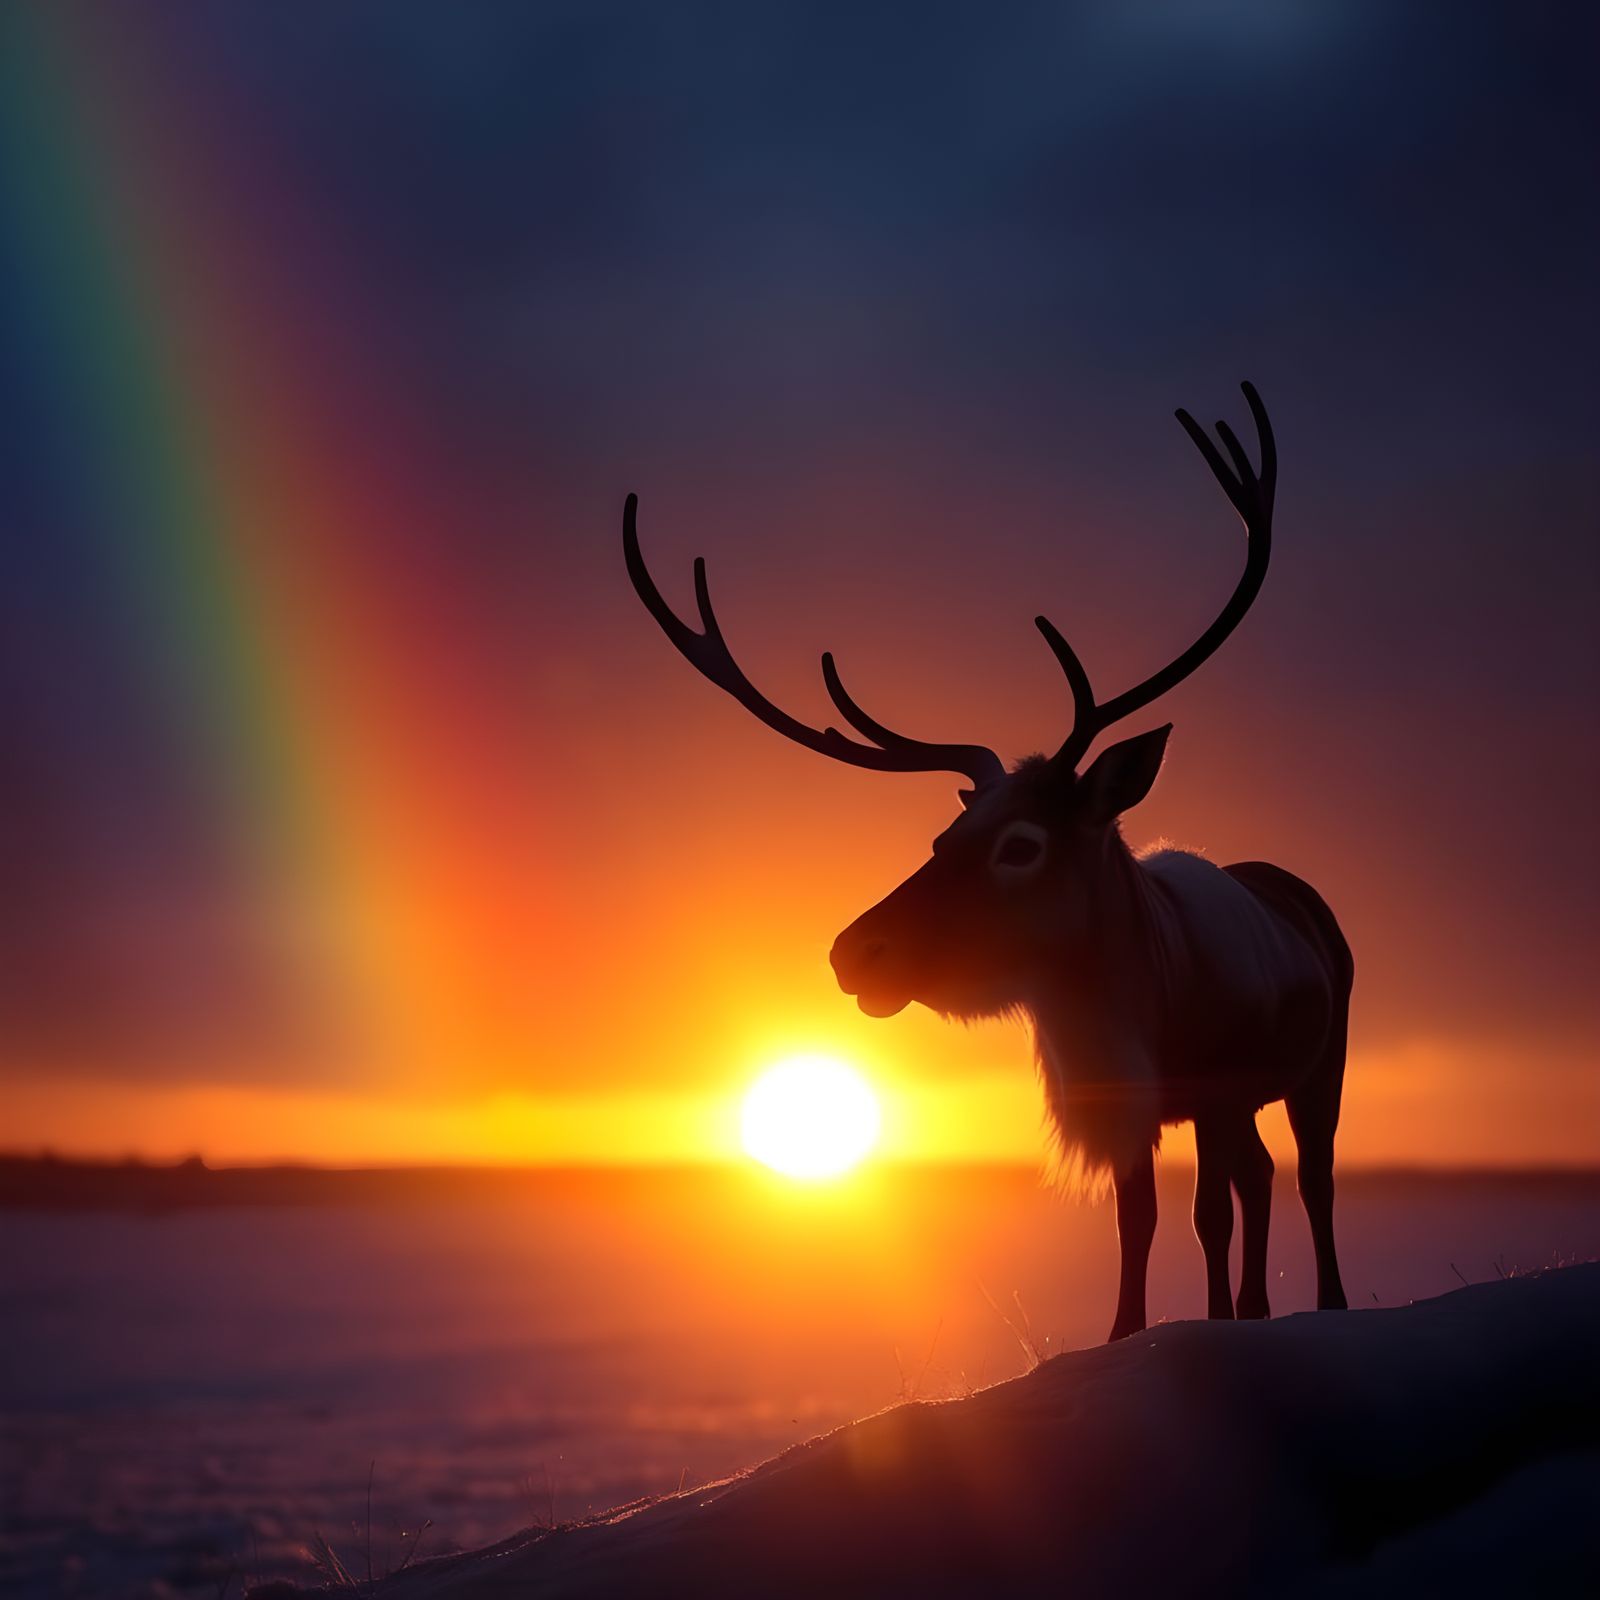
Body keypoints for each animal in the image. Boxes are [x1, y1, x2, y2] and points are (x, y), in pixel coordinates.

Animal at [623, 382, 1351, 1342]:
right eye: (944, 838)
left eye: (1022, 845)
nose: (854, 950)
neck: (1137, 1012)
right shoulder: (1123, 1107)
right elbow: (1139, 1221)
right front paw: (1128, 1333)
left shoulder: (1217, 1089)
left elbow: (1209, 1215)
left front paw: (1221, 1325)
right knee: (1259, 1179)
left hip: (1320, 1065)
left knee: (1306, 1180)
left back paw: (1322, 1303)